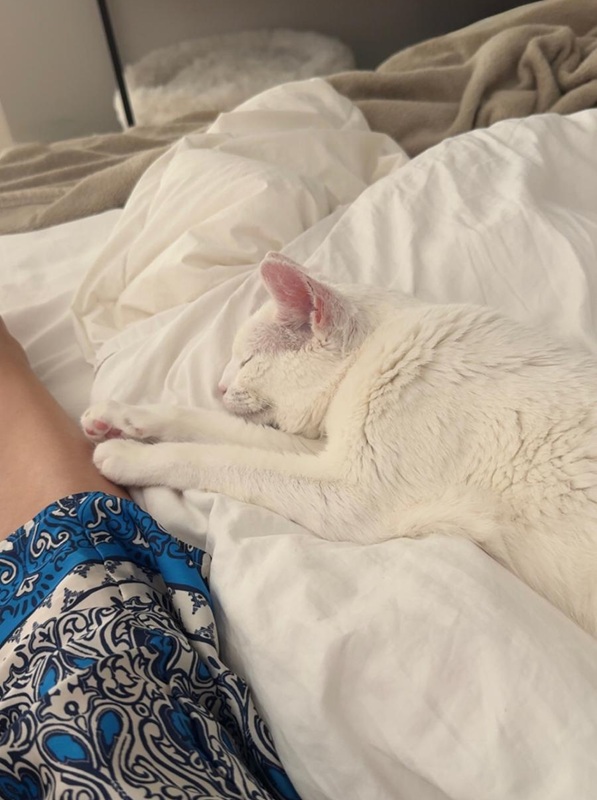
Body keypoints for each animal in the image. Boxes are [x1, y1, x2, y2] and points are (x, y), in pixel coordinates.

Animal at [83, 251, 597, 636]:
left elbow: (221, 459)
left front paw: (127, 456)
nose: (219, 386)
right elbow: (213, 429)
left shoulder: (346, 492)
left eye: (245, 360)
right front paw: (118, 418)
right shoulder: (324, 453)